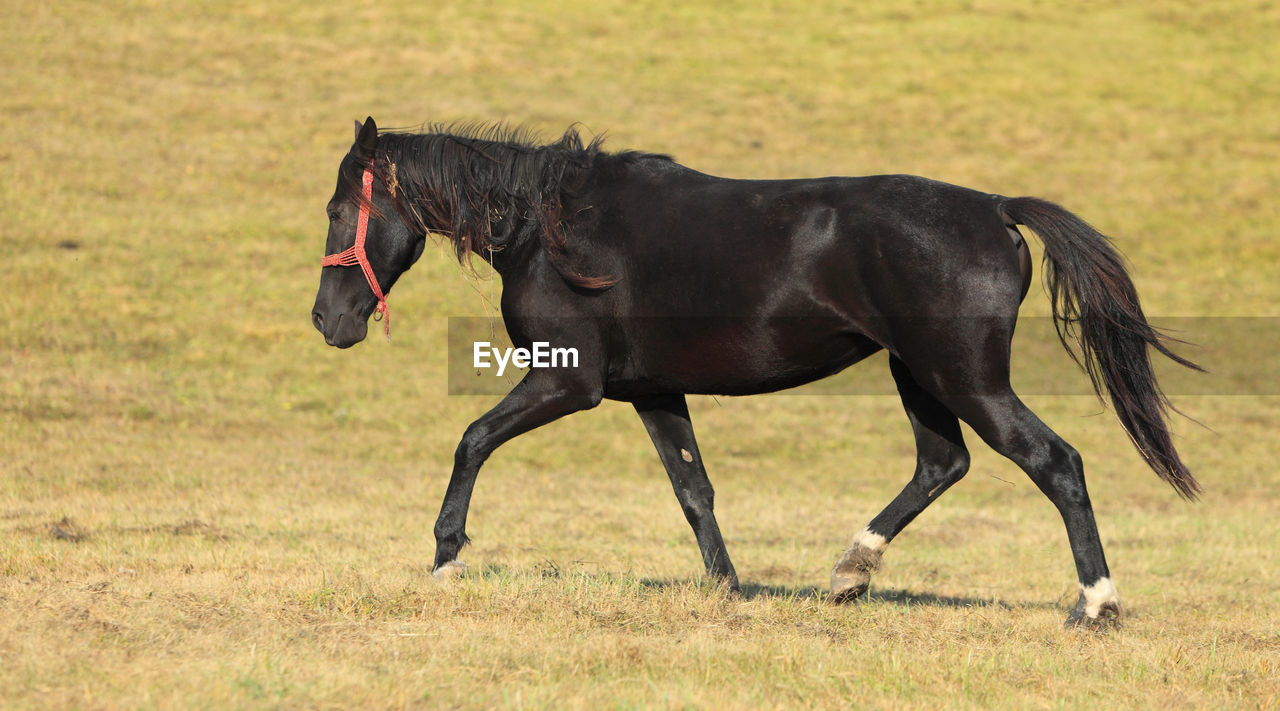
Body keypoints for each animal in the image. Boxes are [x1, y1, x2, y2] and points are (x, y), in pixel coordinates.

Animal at [309, 115, 1198, 627]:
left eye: (336, 208)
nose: (328, 321)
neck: (549, 227)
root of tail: (995, 209)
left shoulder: (569, 382)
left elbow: (472, 439)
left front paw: (446, 557)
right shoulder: (653, 391)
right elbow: (693, 487)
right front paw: (727, 588)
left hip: (965, 377)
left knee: (1056, 461)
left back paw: (1096, 603)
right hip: (921, 375)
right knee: (943, 462)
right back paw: (848, 575)